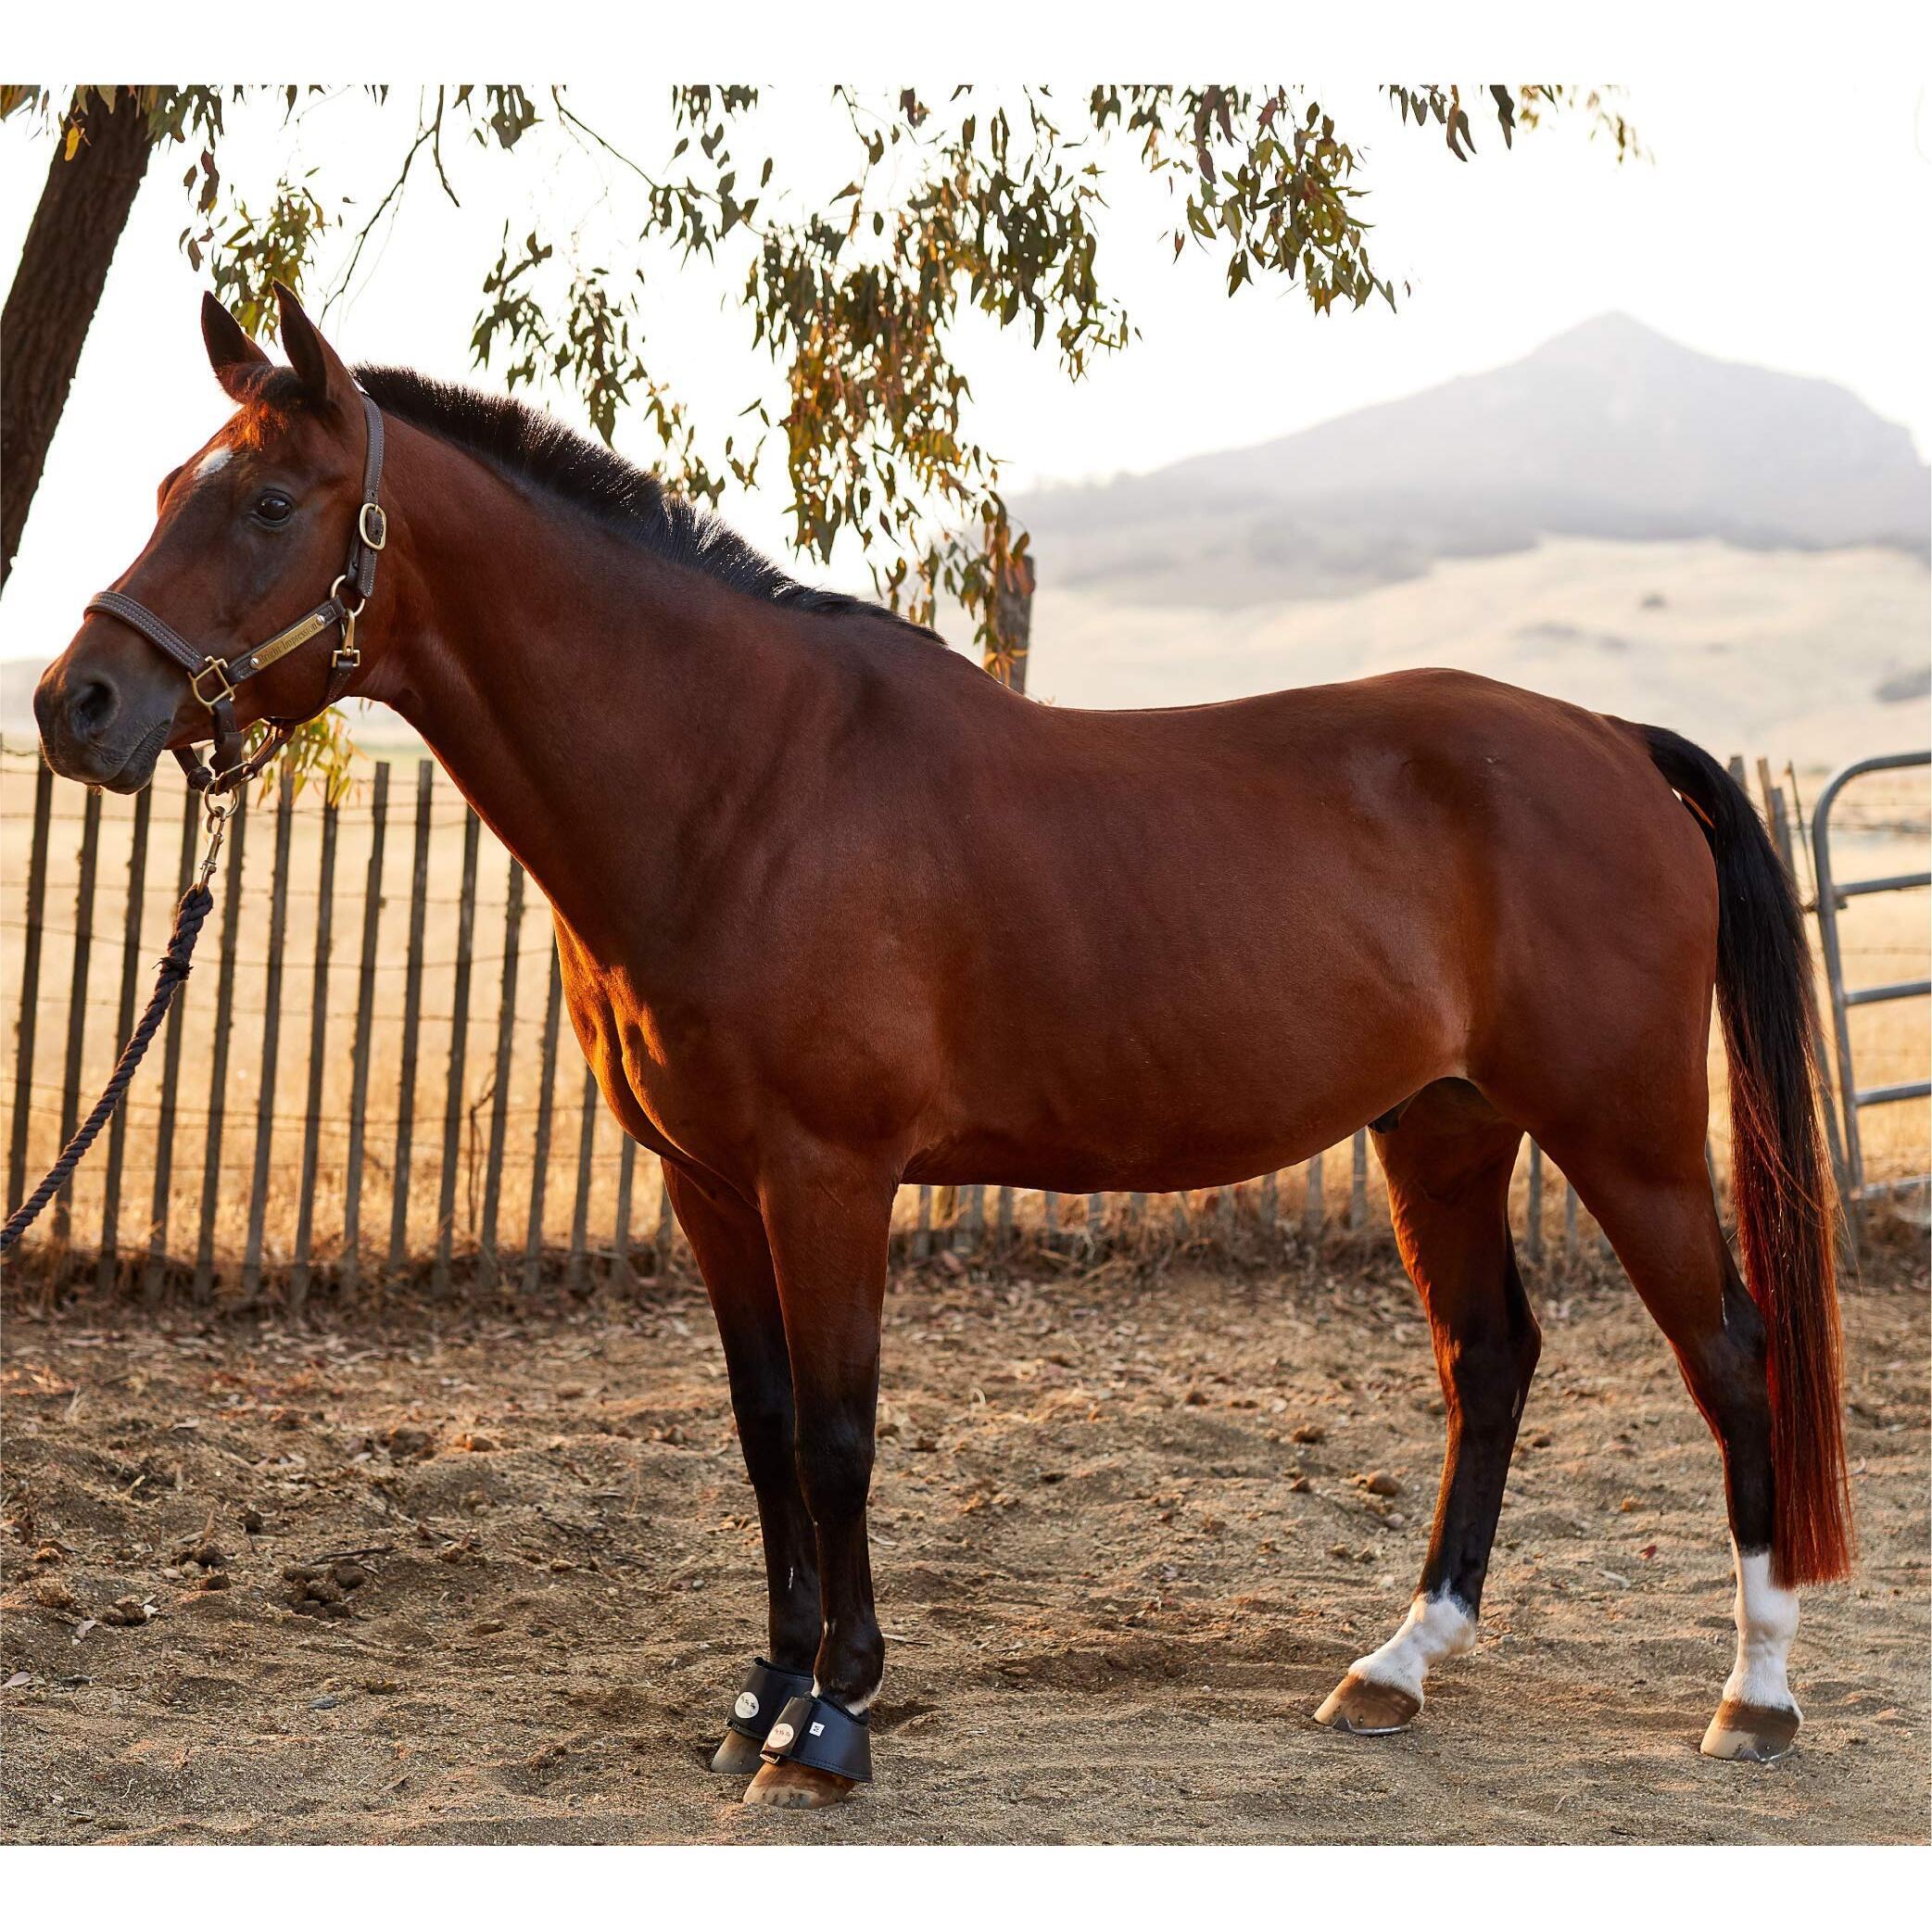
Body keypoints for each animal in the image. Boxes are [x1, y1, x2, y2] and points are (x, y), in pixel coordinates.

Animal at [32, 286, 1851, 1808]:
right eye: (166, 486)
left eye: (270, 504)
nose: (77, 705)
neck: (741, 783)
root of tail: (1608, 739)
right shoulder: (709, 1185)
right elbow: (765, 1424)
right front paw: (760, 1697)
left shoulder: (830, 1178)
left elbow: (840, 1433)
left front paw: (831, 1720)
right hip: (1447, 1127)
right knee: (1491, 1362)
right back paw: (1395, 1667)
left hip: (1620, 1131)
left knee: (1732, 1354)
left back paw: (1756, 1696)